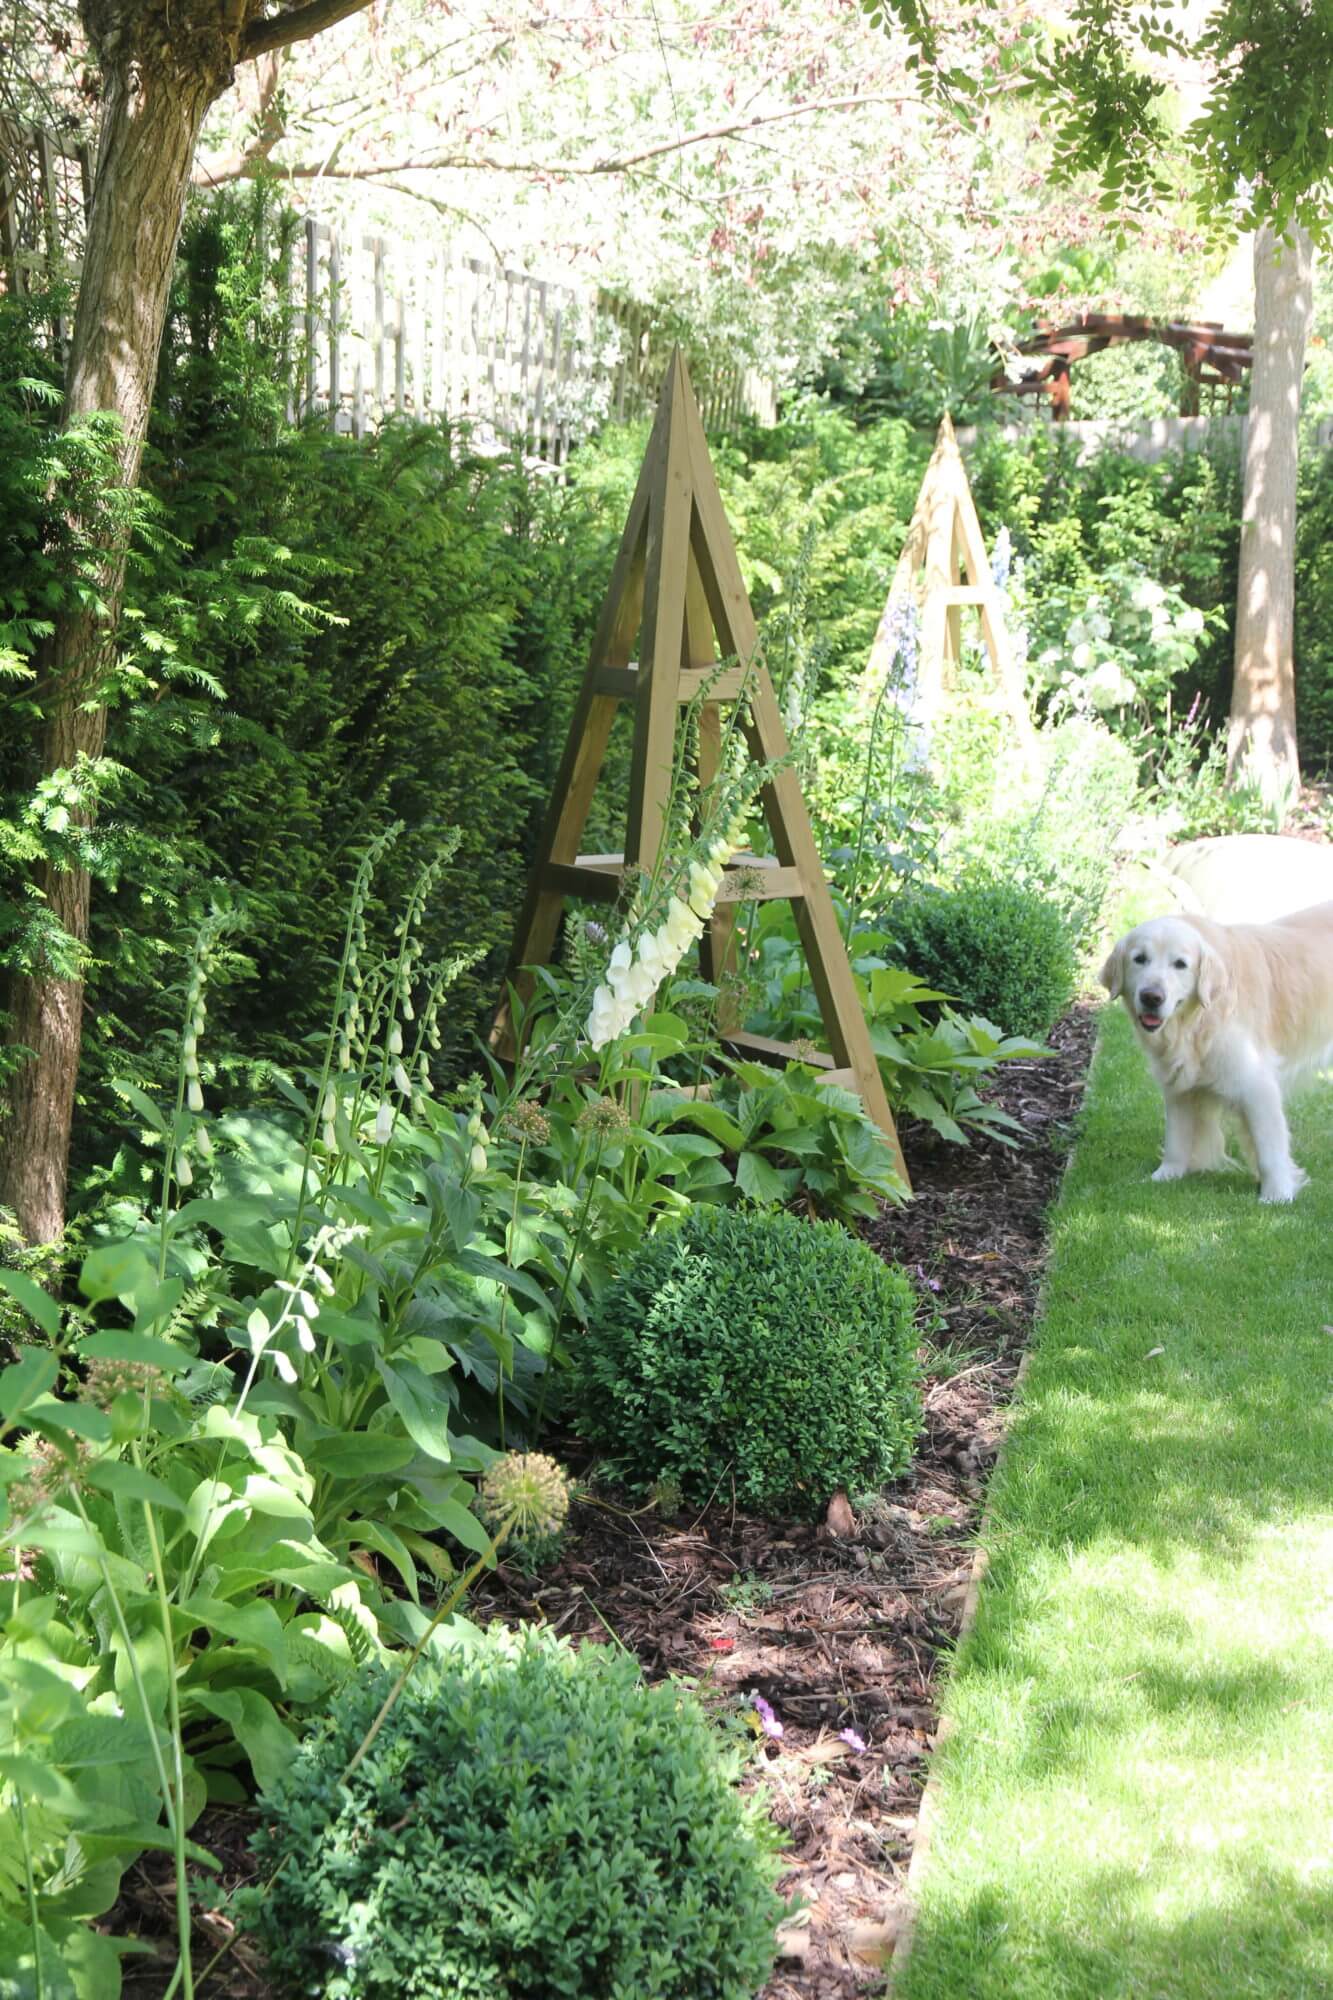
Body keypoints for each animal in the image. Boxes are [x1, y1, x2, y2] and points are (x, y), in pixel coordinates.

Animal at [1096, 908, 1328, 1200]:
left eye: (1180, 964)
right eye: (1139, 959)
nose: (1151, 997)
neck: (1196, 1023)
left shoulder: (1257, 1085)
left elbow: (1269, 1150)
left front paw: (1277, 1195)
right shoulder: (1178, 1084)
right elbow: (1176, 1137)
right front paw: (1166, 1175)